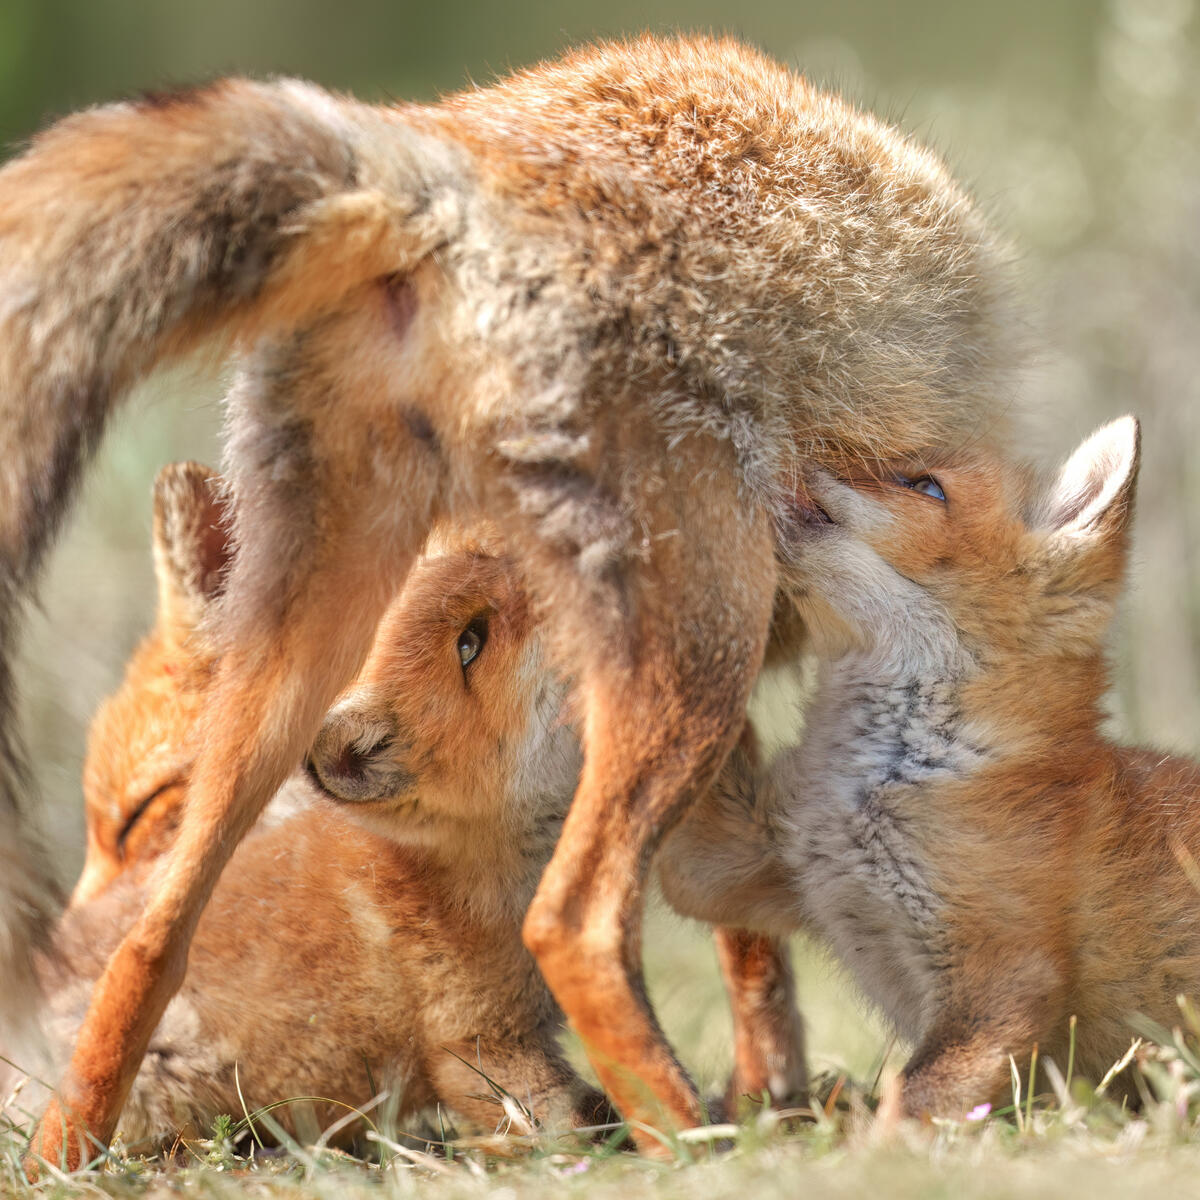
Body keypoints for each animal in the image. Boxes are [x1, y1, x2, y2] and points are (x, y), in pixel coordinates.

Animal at [0, 35, 1017, 1163]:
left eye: (142, 813)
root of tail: (448, 164)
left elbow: (747, 944)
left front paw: (774, 1087)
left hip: (312, 641)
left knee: (150, 941)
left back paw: (61, 1155)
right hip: (703, 639)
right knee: (573, 923)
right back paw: (693, 1144)